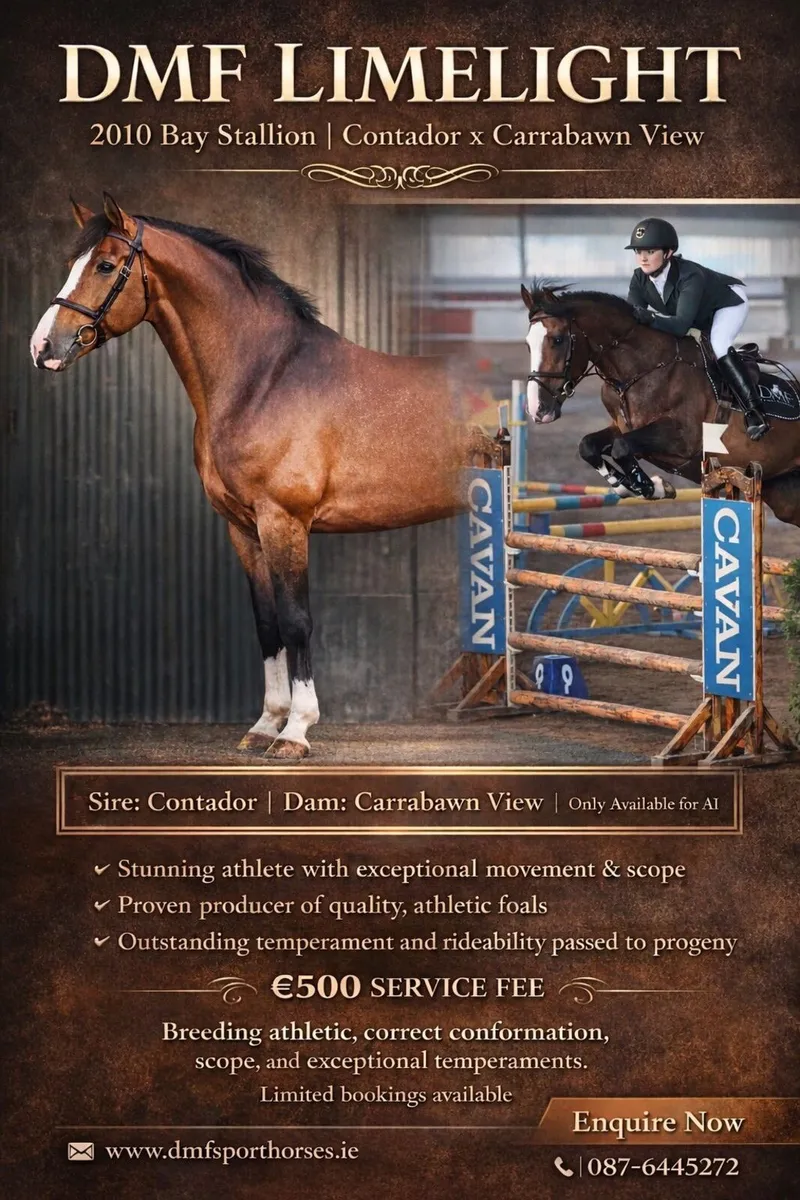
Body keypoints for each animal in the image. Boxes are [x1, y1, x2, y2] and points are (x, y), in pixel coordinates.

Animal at [30, 193, 491, 757]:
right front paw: (266, 724)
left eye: (104, 265)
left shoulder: (284, 522)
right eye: (74, 262)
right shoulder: (243, 528)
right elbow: (267, 624)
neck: (264, 380)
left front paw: (296, 731)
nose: (42, 347)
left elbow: (296, 622)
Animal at [521, 281, 800, 528]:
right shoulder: (623, 427)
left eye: (558, 339)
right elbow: (589, 445)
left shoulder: (683, 439)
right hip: (784, 497)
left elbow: (621, 448)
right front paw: (627, 486)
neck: (640, 371)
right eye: (527, 344)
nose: (537, 409)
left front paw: (652, 486)